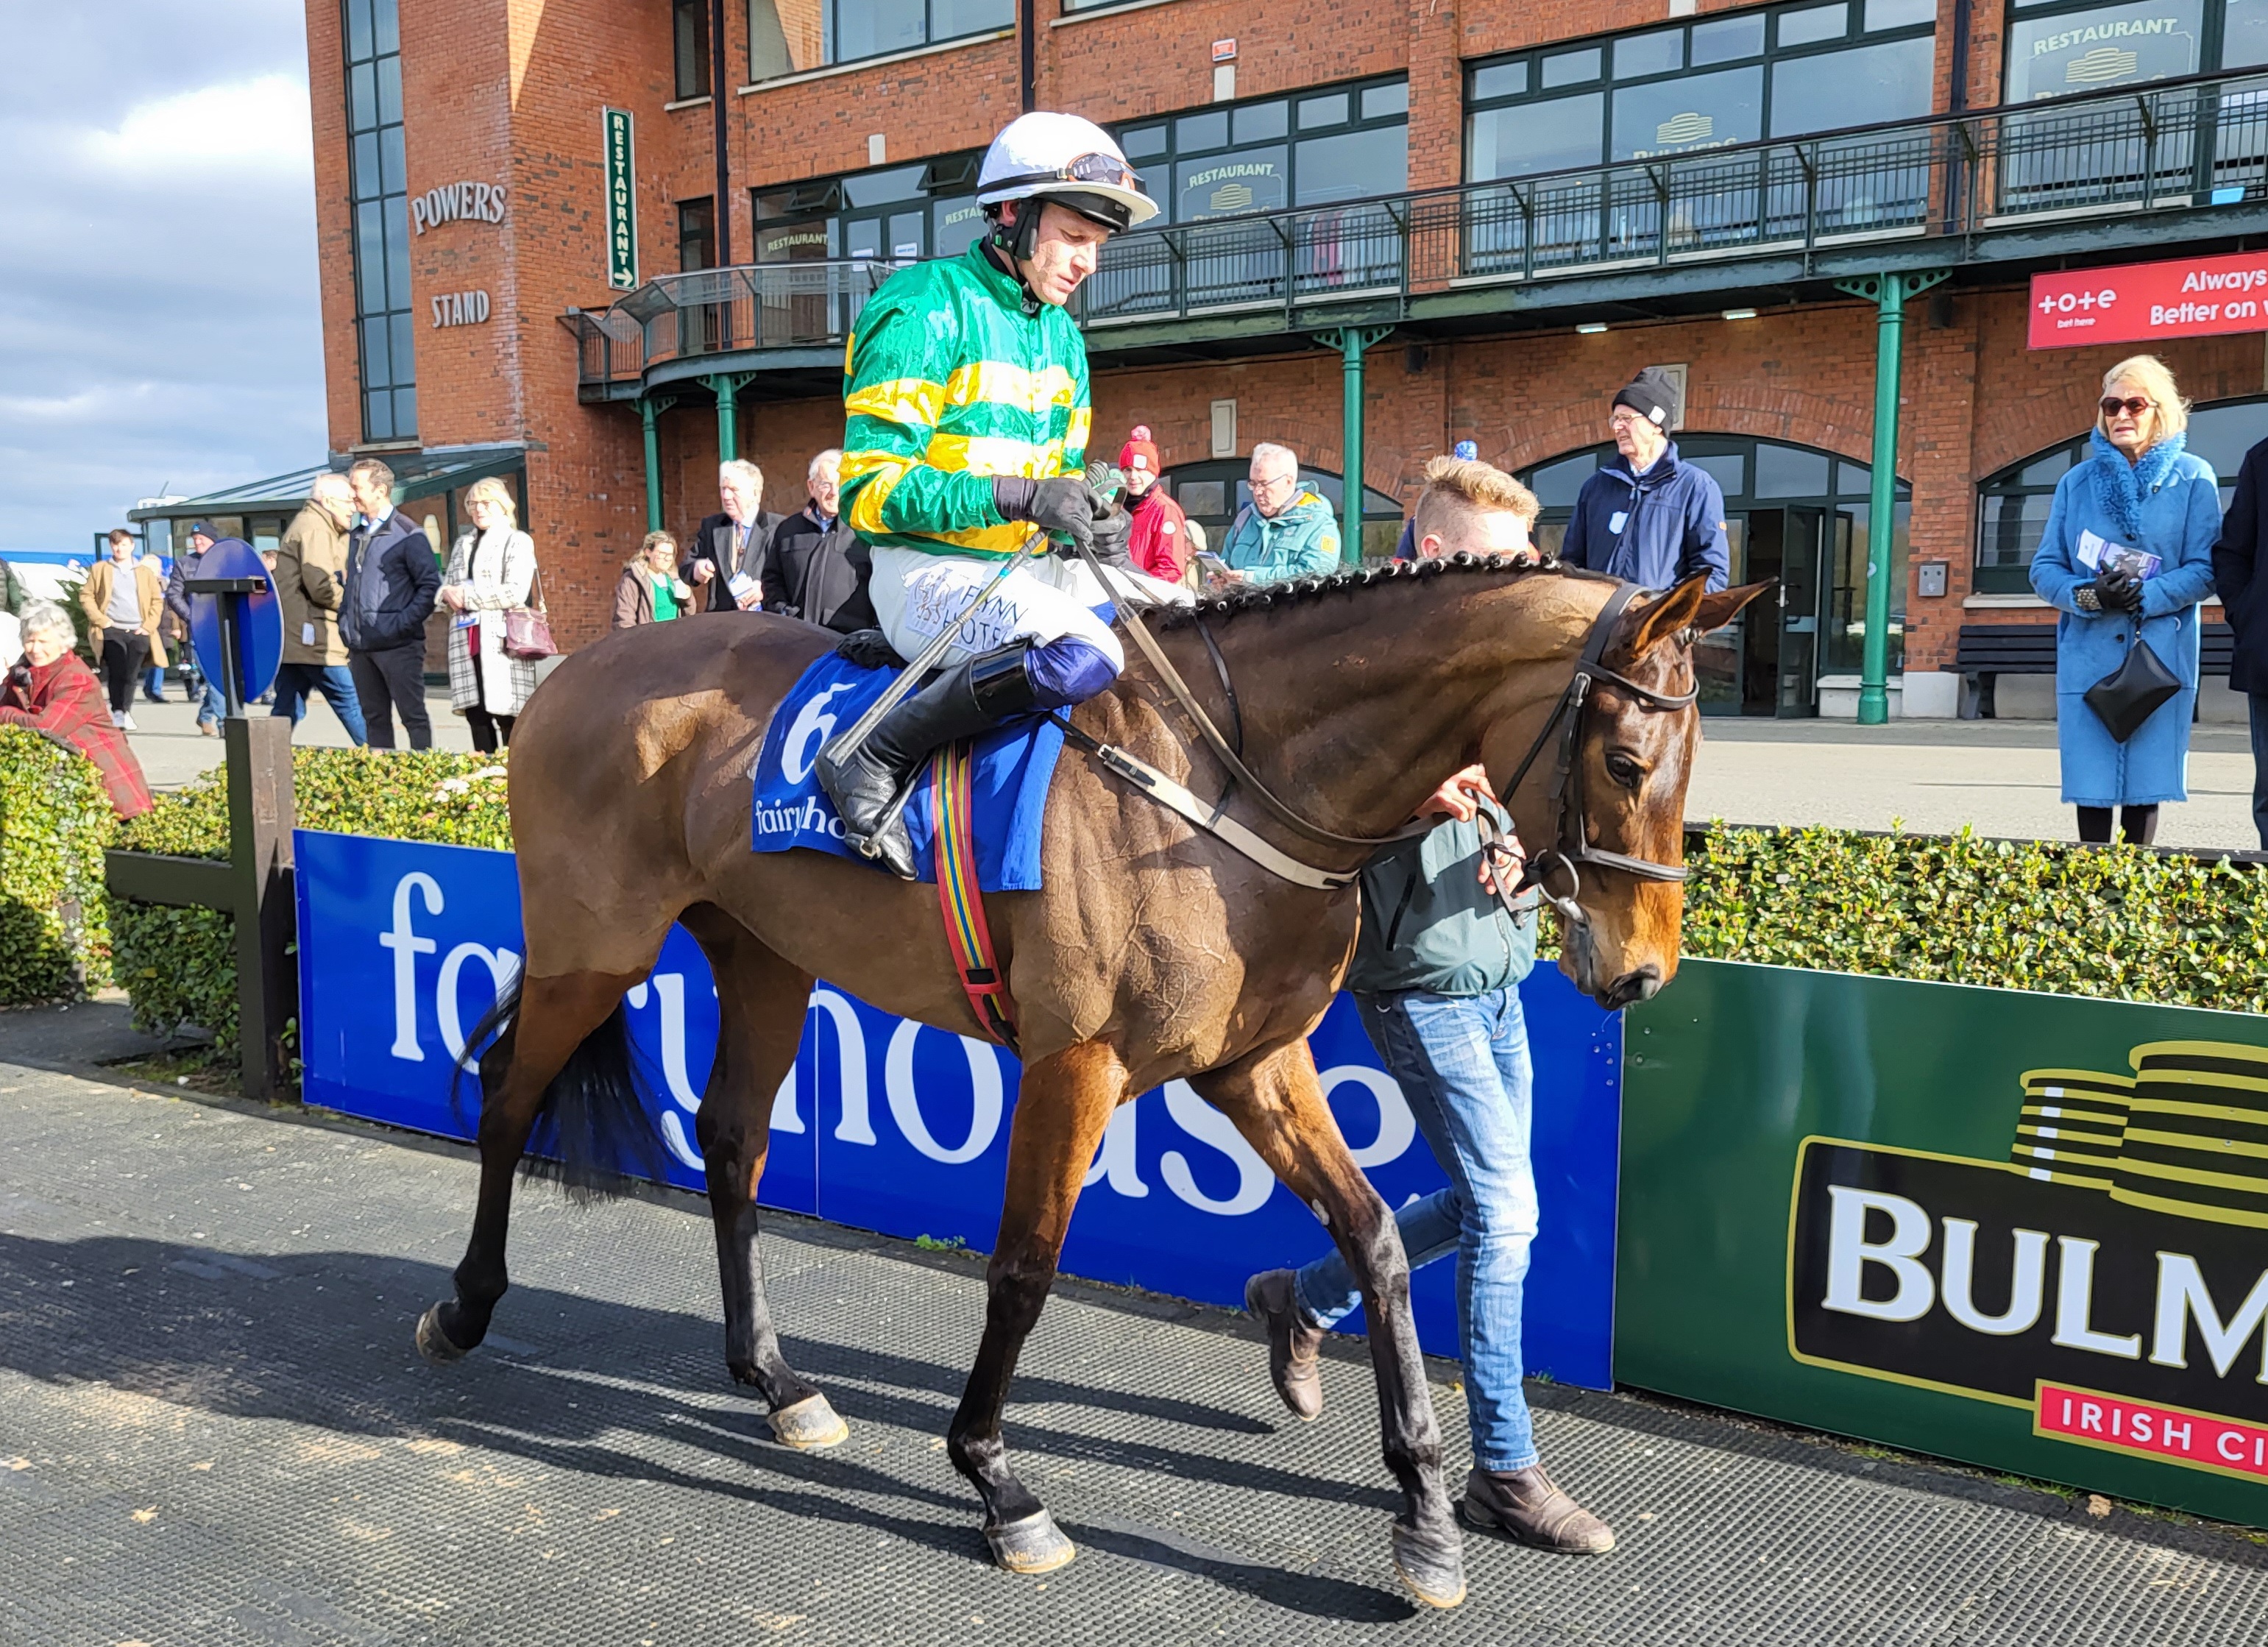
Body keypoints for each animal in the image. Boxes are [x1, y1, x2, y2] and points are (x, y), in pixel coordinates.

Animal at [428, 558, 1768, 1615]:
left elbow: (1378, 1238)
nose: (1642, 969)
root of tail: (571, 672)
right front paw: (995, 1478)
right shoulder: (1073, 1063)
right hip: (590, 947)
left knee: (732, 1142)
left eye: (1692, 763)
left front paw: (1427, 1516)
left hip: (763, 953)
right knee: (505, 1101)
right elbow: (1023, 1269)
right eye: (1625, 757)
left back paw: (778, 1382)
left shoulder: (1252, 1060)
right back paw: (465, 1306)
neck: (1221, 783)